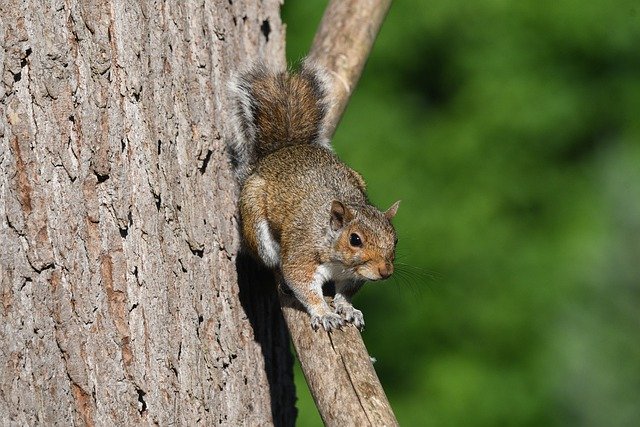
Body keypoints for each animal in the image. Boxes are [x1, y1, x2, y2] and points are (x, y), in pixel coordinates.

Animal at [229, 60, 399, 332]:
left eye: (396, 240)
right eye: (355, 240)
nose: (385, 271)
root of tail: (283, 150)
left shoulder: (353, 276)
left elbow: (346, 292)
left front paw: (348, 308)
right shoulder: (302, 254)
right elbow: (304, 287)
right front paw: (324, 313)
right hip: (255, 219)